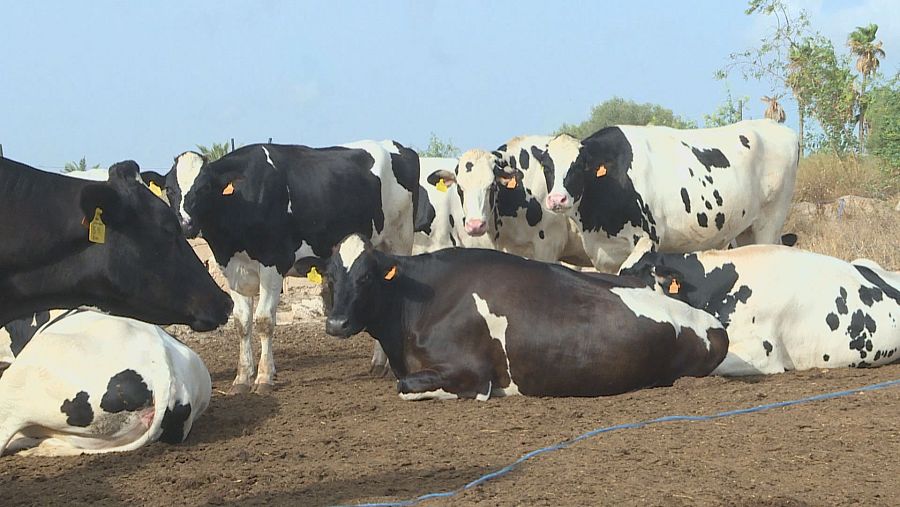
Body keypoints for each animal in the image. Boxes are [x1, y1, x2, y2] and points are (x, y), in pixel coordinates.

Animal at [162, 141, 432, 393]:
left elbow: (263, 320)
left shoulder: (274, 262)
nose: (185, 224)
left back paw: (381, 363)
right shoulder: (231, 269)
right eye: (169, 189)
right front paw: (242, 378)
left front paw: (264, 378)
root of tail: (398, 147)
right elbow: (242, 323)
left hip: (398, 239)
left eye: (204, 187)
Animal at [322, 234, 728, 399]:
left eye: (366, 277)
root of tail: (712, 324)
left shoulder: (471, 372)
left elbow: (405, 386)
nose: (336, 323)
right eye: (329, 277)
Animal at [534, 119, 800, 272]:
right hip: (746, 230)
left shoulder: (647, 240)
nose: (557, 200)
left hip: (770, 222)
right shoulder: (602, 253)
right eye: (546, 167)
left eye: (581, 166)